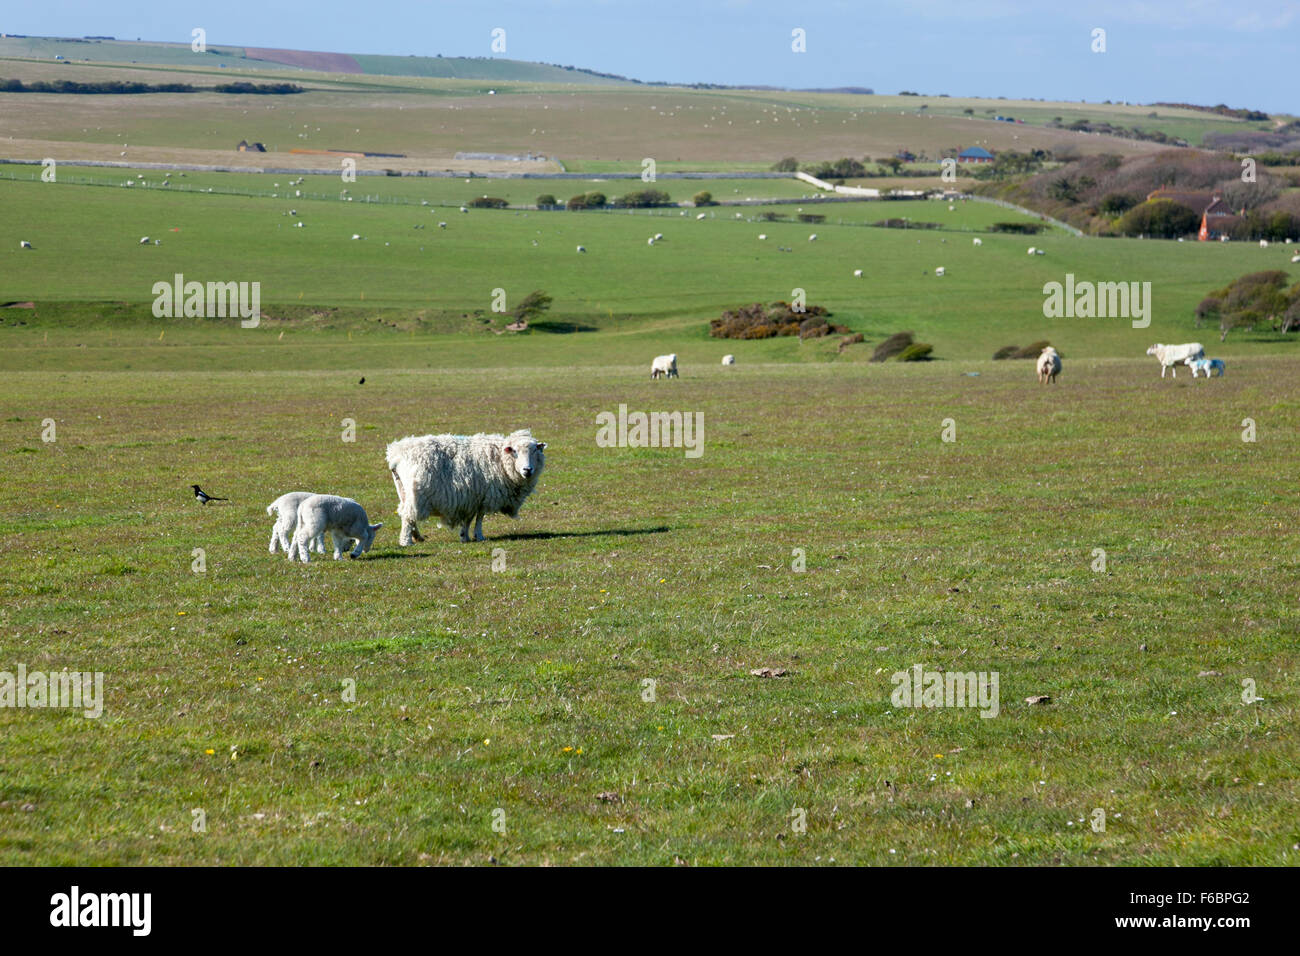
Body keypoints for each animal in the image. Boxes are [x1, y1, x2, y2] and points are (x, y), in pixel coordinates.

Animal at [384, 429, 548, 546]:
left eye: (535, 450)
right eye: (515, 451)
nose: (528, 470)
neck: (500, 459)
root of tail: (396, 454)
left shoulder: (472, 497)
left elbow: (469, 519)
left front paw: (465, 536)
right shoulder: (483, 495)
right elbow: (479, 518)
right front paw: (479, 536)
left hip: (403, 491)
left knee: (406, 513)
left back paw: (417, 537)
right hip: (416, 493)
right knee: (408, 516)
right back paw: (406, 542)